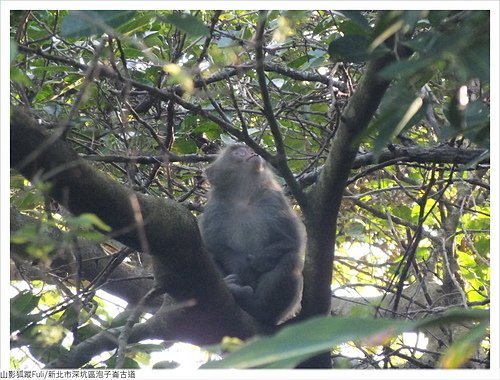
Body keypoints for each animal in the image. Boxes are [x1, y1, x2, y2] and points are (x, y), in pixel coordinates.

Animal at [199, 144, 304, 326]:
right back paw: (233, 288)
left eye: (249, 148)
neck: (244, 196)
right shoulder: (215, 207)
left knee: (291, 258)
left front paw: (259, 261)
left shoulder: (273, 199)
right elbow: (215, 245)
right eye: (239, 152)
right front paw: (243, 269)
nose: (253, 153)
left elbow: (291, 240)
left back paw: (257, 307)